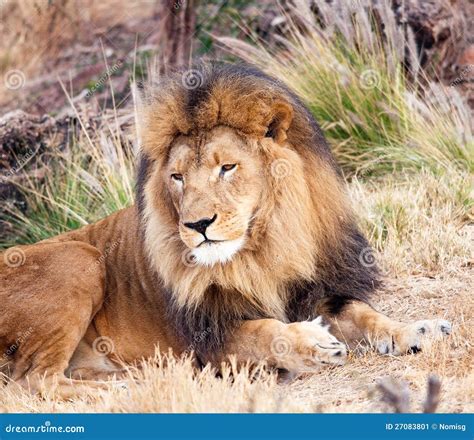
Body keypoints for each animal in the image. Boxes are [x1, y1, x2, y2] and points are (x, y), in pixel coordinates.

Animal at [0, 62, 452, 398]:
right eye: (178, 177)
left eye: (227, 167)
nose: (197, 224)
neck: (264, 247)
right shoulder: (212, 337)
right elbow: (267, 332)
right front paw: (313, 343)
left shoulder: (314, 289)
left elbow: (363, 313)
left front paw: (418, 330)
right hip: (80, 257)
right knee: (32, 381)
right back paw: (126, 390)